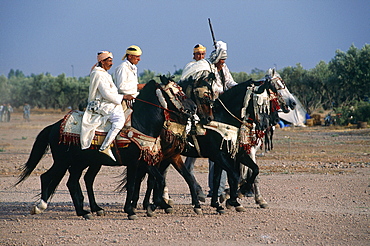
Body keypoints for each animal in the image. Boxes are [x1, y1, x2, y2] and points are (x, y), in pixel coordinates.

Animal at [15, 78, 197, 220]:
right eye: (177, 92)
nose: (194, 107)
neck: (141, 124)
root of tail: (54, 126)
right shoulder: (138, 162)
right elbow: (144, 182)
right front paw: (142, 208)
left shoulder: (144, 162)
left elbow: (146, 182)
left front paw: (141, 207)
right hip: (63, 161)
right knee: (48, 177)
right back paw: (41, 207)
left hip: (82, 163)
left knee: (75, 181)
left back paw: (86, 211)